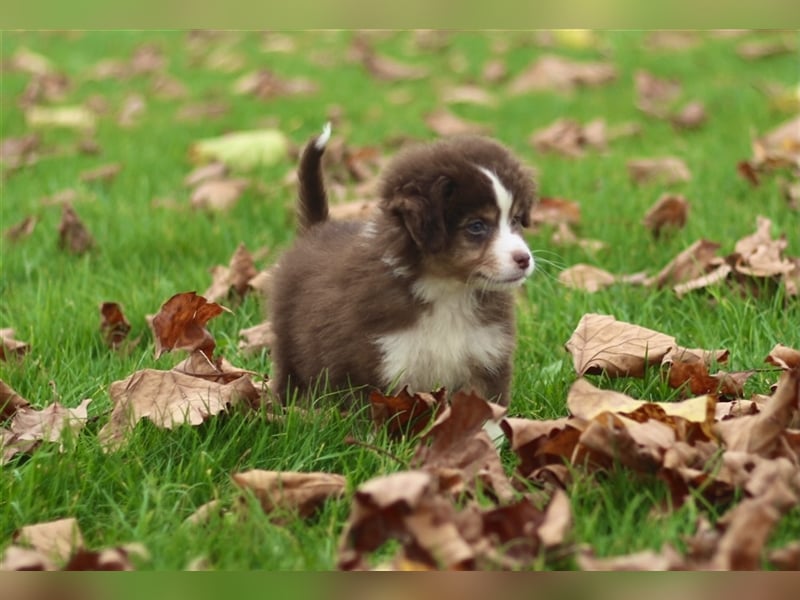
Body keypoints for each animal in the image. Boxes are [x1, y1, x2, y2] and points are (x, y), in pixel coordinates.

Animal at [268, 125, 536, 408]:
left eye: (516, 219)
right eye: (476, 226)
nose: (524, 259)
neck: (447, 291)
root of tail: (316, 228)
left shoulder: (487, 356)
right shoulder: (375, 364)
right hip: (289, 342)